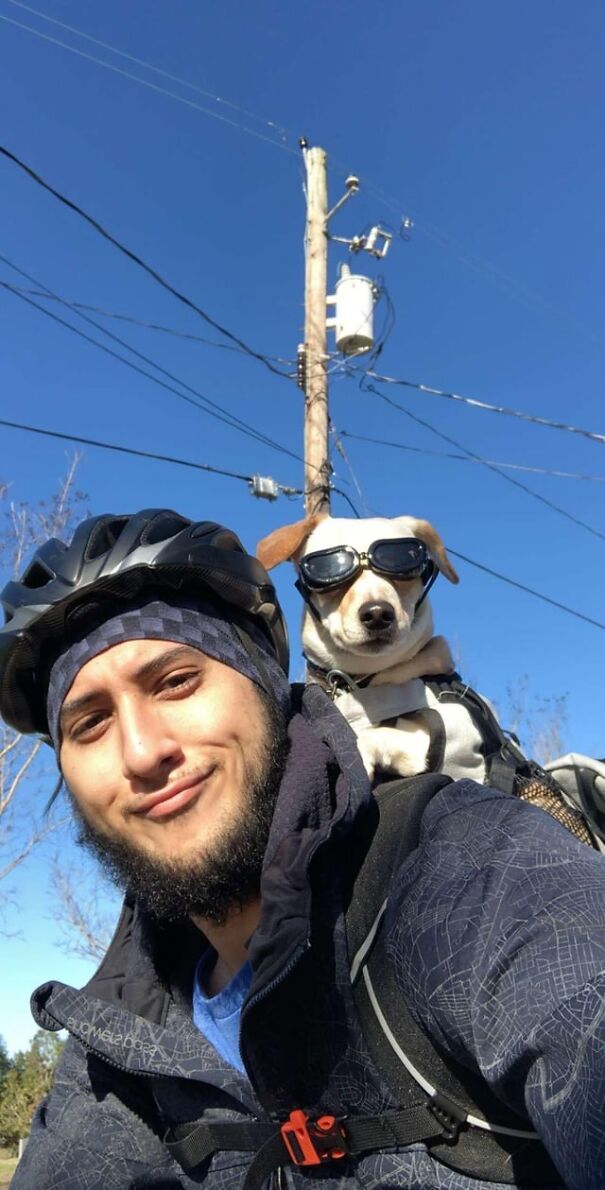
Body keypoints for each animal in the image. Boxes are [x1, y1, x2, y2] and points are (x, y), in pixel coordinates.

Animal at [257, 511, 464, 780]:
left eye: (401, 564)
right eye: (330, 569)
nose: (377, 613)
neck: (357, 681)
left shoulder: (453, 730)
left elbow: (369, 736)